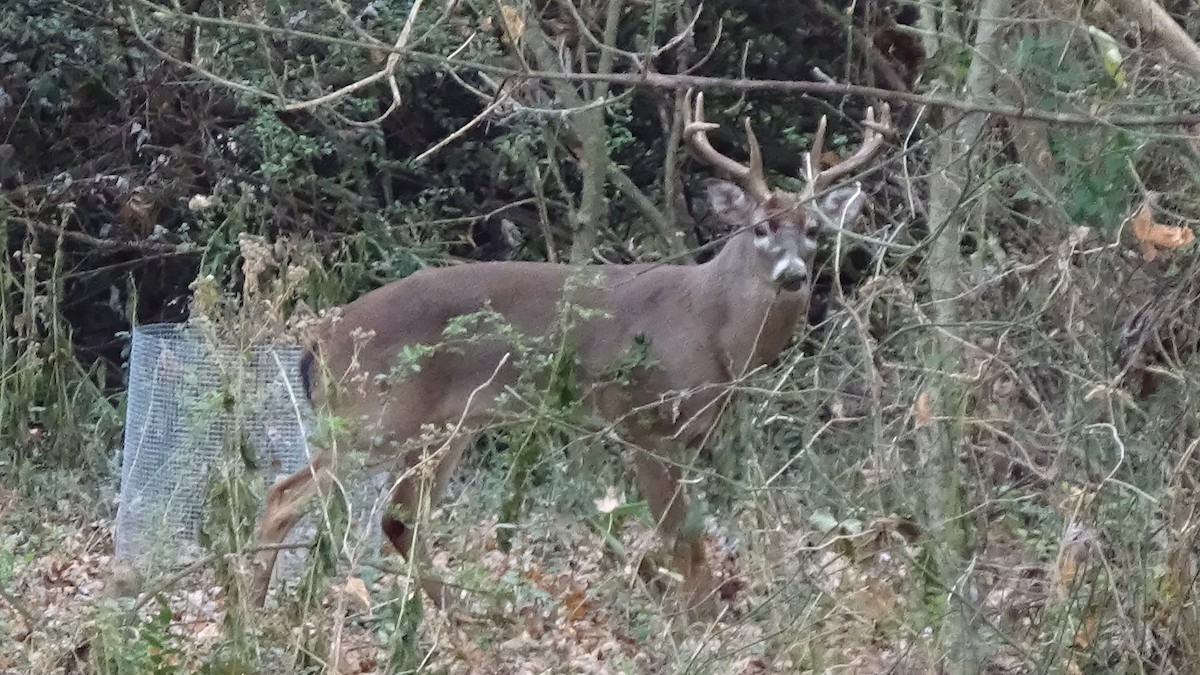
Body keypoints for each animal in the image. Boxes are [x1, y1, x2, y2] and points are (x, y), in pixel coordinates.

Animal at [248, 90, 892, 617]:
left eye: (814, 230)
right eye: (760, 228)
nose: (793, 275)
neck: (712, 327)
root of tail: (319, 340)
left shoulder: (694, 432)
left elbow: (690, 531)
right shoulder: (639, 415)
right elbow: (677, 533)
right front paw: (699, 620)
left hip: (445, 426)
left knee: (399, 517)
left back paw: (464, 617)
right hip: (376, 414)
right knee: (285, 496)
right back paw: (254, 611)